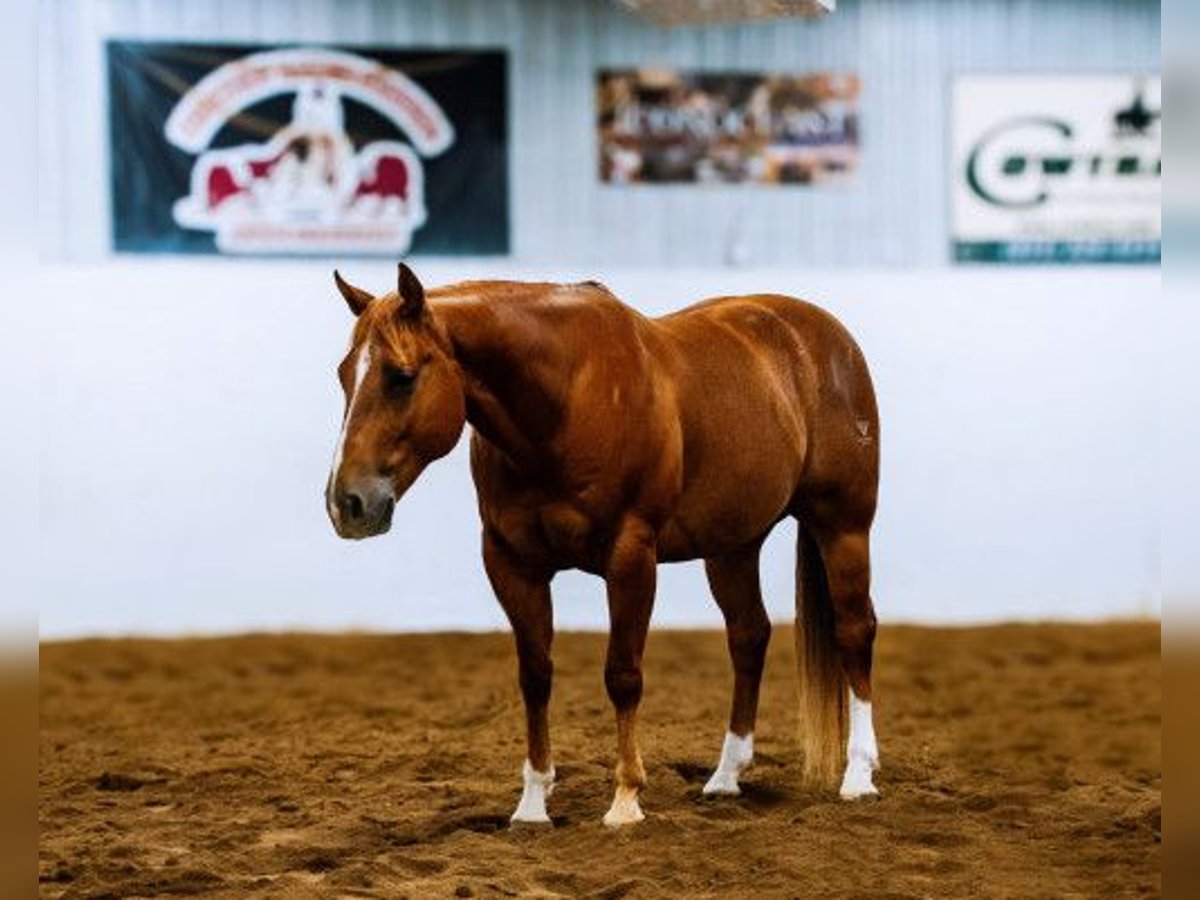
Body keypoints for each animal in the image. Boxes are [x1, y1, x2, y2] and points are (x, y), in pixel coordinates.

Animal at [324, 264, 878, 830]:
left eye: (401, 376)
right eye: (345, 374)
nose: (346, 503)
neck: (566, 403)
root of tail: (825, 336)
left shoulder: (630, 555)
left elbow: (622, 674)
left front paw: (626, 799)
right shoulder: (511, 562)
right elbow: (535, 675)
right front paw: (532, 804)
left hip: (843, 527)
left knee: (854, 630)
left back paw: (858, 775)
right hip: (733, 546)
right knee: (748, 636)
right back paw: (726, 777)